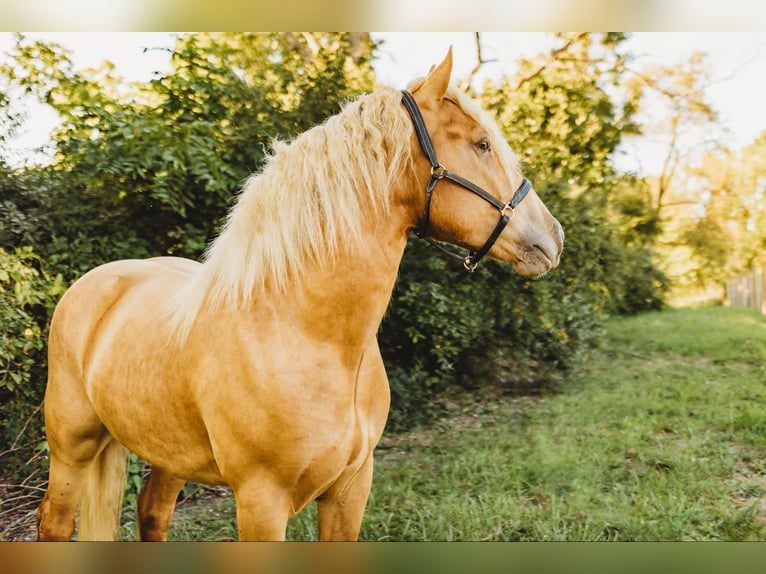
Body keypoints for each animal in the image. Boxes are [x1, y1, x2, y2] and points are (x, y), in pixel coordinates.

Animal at [36, 50, 564, 544]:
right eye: (481, 144)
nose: (554, 235)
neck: (309, 335)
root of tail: (95, 282)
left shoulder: (351, 489)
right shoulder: (261, 503)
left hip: (168, 452)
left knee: (152, 514)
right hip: (71, 447)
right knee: (55, 522)